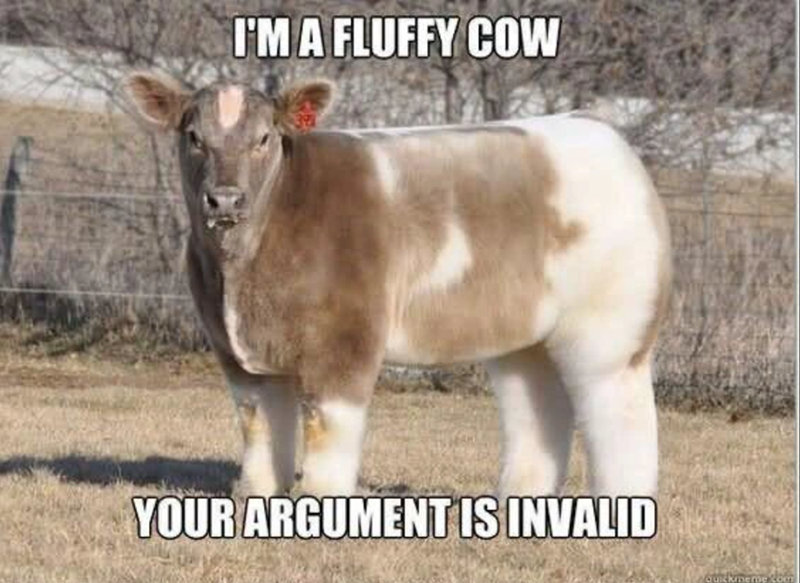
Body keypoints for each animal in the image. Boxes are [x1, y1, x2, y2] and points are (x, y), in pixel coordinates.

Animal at [125, 73, 671, 501]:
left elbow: (327, 430)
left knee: (618, 414)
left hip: (609, 330)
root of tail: (599, 130)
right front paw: (256, 497)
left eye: (263, 138)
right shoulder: (237, 354)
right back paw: (518, 497)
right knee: (536, 408)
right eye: (193, 136)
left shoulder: (345, 341)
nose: (224, 198)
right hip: (526, 336)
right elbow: (259, 428)